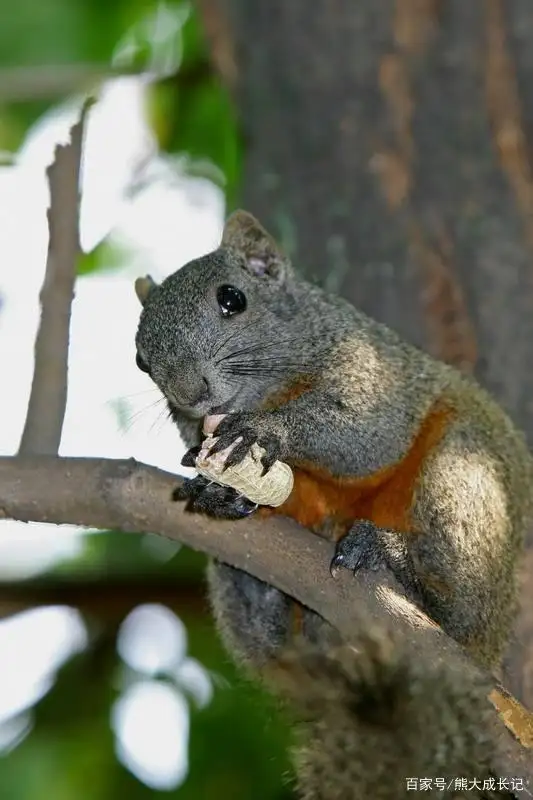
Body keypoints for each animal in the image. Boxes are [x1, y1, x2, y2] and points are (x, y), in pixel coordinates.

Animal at [134, 211, 532, 792]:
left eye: (232, 299)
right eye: (141, 359)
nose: (190, 393)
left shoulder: (372, 369)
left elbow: (367, 435)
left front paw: (263, 430)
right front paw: (222, 492)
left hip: (466, 475)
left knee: (454, 602)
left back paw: (392, 560)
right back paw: (265, 596)